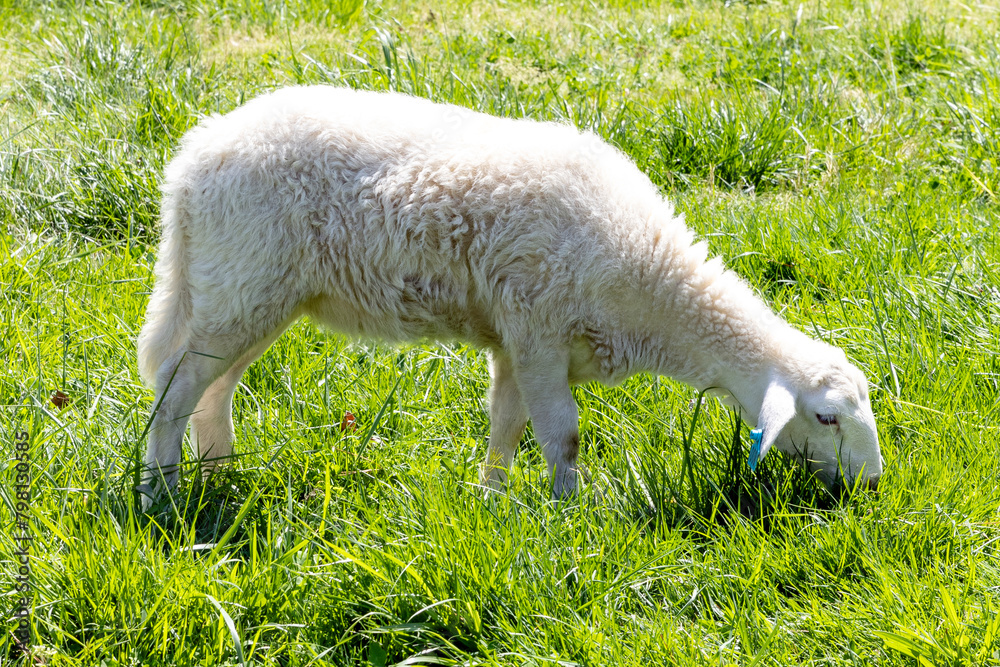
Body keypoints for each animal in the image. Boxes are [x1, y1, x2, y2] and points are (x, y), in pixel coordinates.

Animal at [137, 85, 882, 504]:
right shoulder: (539, 331)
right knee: (174, 391)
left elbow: (507, 424)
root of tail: (193, 157)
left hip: (250, 294)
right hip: (242, 283)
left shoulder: (515, 339)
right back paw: (161, 495)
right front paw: (569, 513)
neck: (650, 285)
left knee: (214, 390)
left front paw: (491, 500)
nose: (873, 484)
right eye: (825, 418)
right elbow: (563, 435)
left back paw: (218, 474)